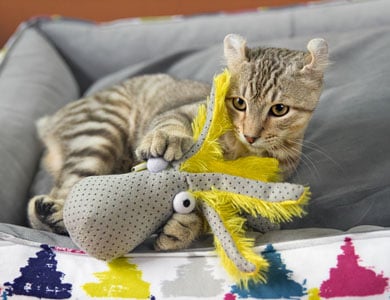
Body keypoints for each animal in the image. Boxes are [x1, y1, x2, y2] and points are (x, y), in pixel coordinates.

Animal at [27, 33, 328, 251]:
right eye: (239, 103)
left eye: (279, 110)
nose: (251, 134)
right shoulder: (186, 112)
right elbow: (170, 124)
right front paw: (166, 139)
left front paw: (182, 228)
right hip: (99, 133)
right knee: (62, 194)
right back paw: (52, 211)